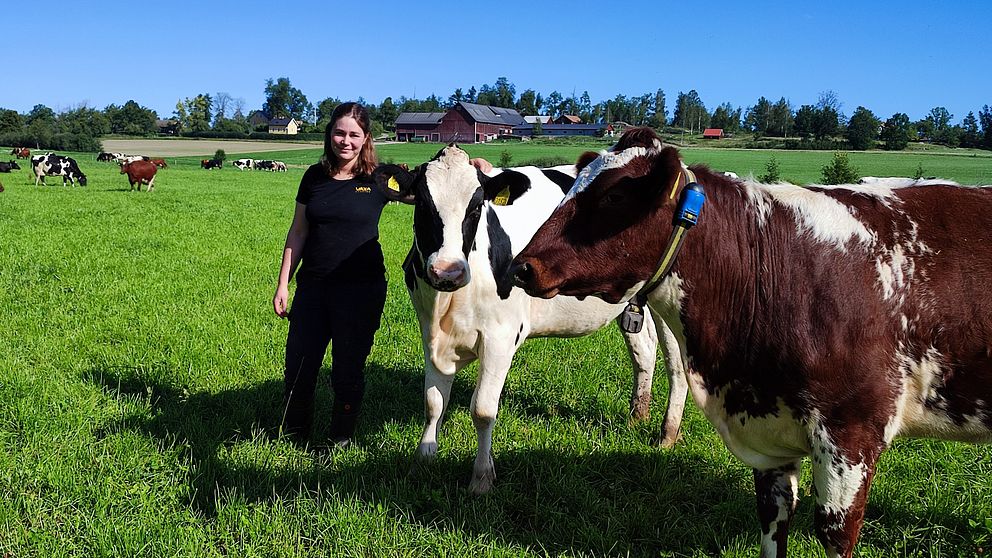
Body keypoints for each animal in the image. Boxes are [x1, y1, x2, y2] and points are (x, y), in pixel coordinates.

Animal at [372, 144, 688, 494]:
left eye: (476, 207)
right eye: (423, 205)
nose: (447, 272)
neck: (449, 301)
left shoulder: (500, 337)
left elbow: (483, 409)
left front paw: (482, 478)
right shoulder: (430, 333)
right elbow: (433, 402)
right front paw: (423, 459)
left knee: (676, 365)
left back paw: (667, 434)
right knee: (643, 349)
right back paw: (637, 416)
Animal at [508, 128, 992, 558]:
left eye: (613, 196)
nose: (521, 266)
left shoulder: (851, 434)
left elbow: (837, 533)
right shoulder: (768, 437)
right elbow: (772, 522)